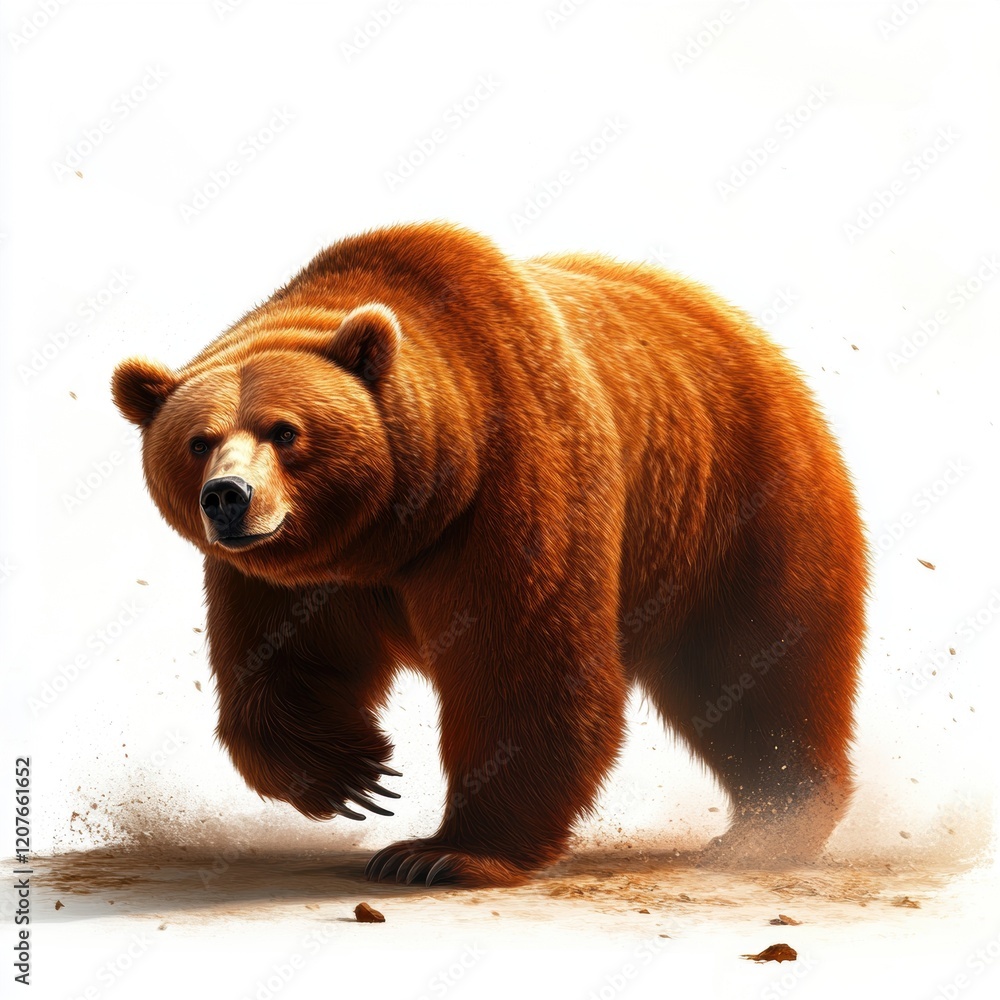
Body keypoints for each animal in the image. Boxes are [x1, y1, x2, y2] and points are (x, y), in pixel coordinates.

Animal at [111, 221, 867, 887]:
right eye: (198, 441)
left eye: (285, 430)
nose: (228, 497)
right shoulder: (294, 574)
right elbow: (282, 660)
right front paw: (355, 774)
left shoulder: (511, 486)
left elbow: (523, 665)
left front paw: (440, 853)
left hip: (737, 502)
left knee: (757, 664)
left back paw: (771, 825)